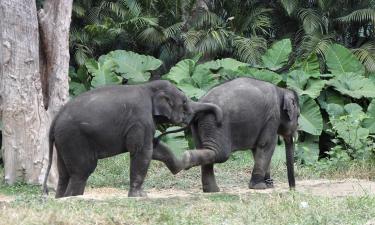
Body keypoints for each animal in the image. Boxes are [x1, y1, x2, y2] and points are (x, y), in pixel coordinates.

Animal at [41, 80, 223, 198]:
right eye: (184, 102)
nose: (220, 121)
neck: (149, 86)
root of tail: (55, 121)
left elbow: (155, 149)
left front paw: (181, 164)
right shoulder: (141, 120)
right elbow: (142, 151)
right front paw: (140, 196)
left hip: (63, 142)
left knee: (64, 173)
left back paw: (60, 198)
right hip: (74, 139)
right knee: (82, 171)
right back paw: (73, 198)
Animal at [155, 77, 300, 192]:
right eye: (298, 116)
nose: (292, 189)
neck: (281, 90)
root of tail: (197, 105)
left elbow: (257, 150)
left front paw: (268, 185)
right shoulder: (272, 118)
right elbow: (266, 145)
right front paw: (260, 187)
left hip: (199, 126)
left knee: (206, 149)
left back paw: (211, 190)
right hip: (216, 124)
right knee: (220, 153)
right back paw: (183, 160)